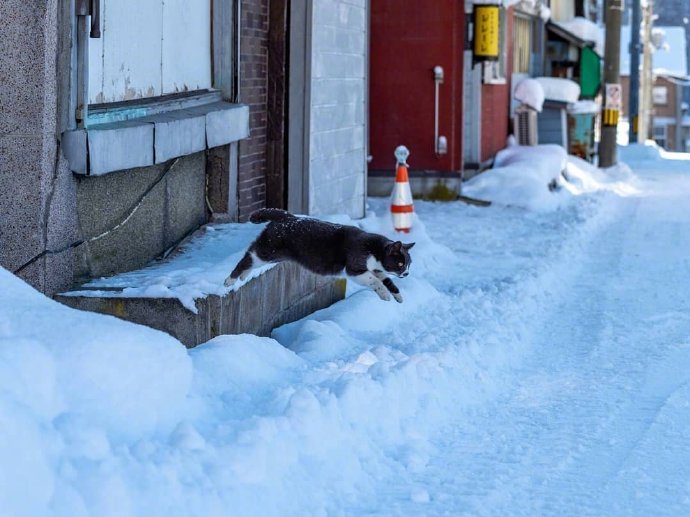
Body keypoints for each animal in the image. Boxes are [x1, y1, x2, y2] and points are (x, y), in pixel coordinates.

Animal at [224, 208, 414, 300]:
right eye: (400, 263)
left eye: (408, 264)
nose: (406, 273)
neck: (374, 251)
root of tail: (287, 217)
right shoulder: (354, 268)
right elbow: (375, 281)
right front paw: (385, 295)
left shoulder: (377, 270)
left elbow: (387, 280)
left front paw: (398, 296)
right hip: (268, 249)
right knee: (248, 257)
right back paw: (230, 280)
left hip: (276, 254)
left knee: (251, 258)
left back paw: (243, 277)